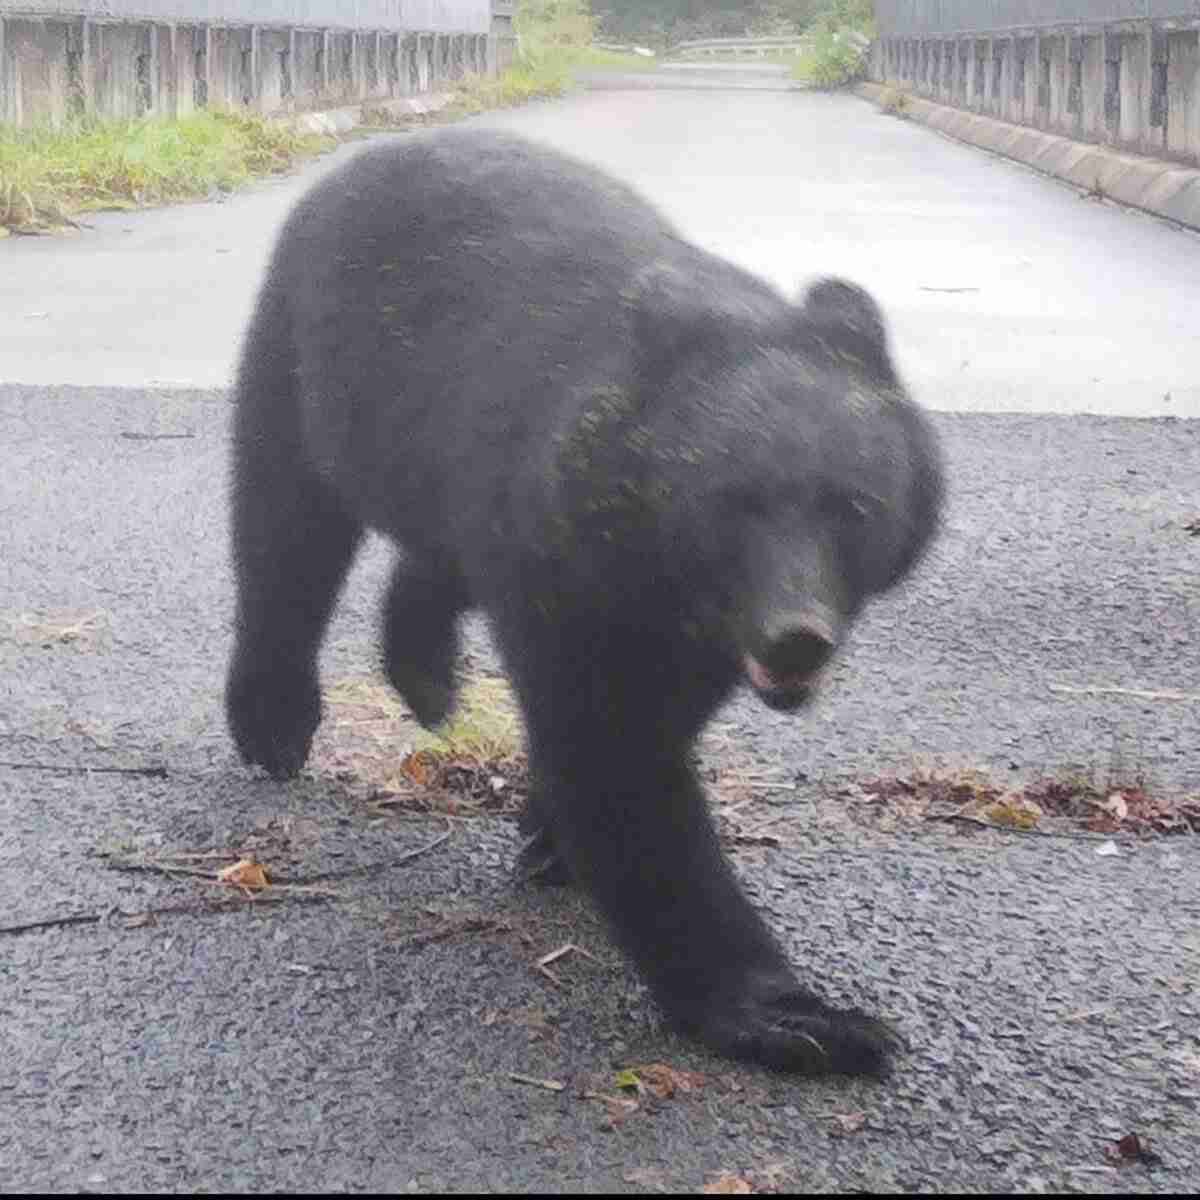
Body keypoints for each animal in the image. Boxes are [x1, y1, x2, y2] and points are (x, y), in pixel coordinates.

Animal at [226, 127, 943, 1076]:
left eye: (854, 506)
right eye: (731, 504)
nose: (797, 638)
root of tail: (370, 153)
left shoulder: (680, 617)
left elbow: (656, 721)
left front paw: (546, 835)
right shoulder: (563, 556)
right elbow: (618, 756)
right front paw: (797, 1015)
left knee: (425, 556)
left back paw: (423, 674)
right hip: (310, 362)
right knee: (285, 528)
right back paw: (274, 718)